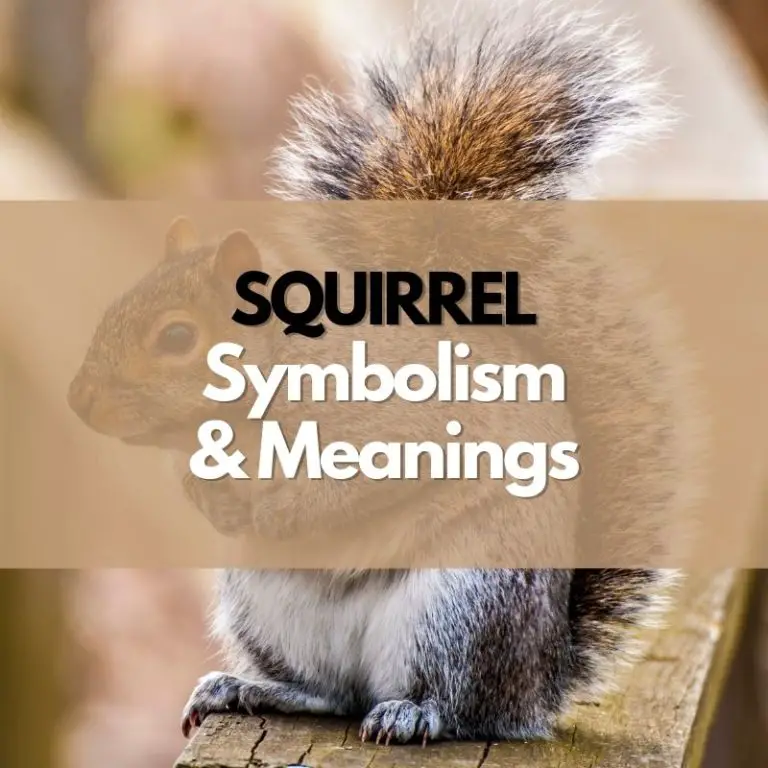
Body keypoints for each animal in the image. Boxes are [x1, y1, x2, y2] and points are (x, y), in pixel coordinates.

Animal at [67, 2, 706, 746]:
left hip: (461, 605)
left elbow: (366, 478)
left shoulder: (399, 414)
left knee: (458, 703)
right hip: (266, 607)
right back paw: (249, 687)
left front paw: (282, 505)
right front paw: (211, 499)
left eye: (176, 336)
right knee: (331, 692)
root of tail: (539, 681)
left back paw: (412, 711)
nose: (82, 401)